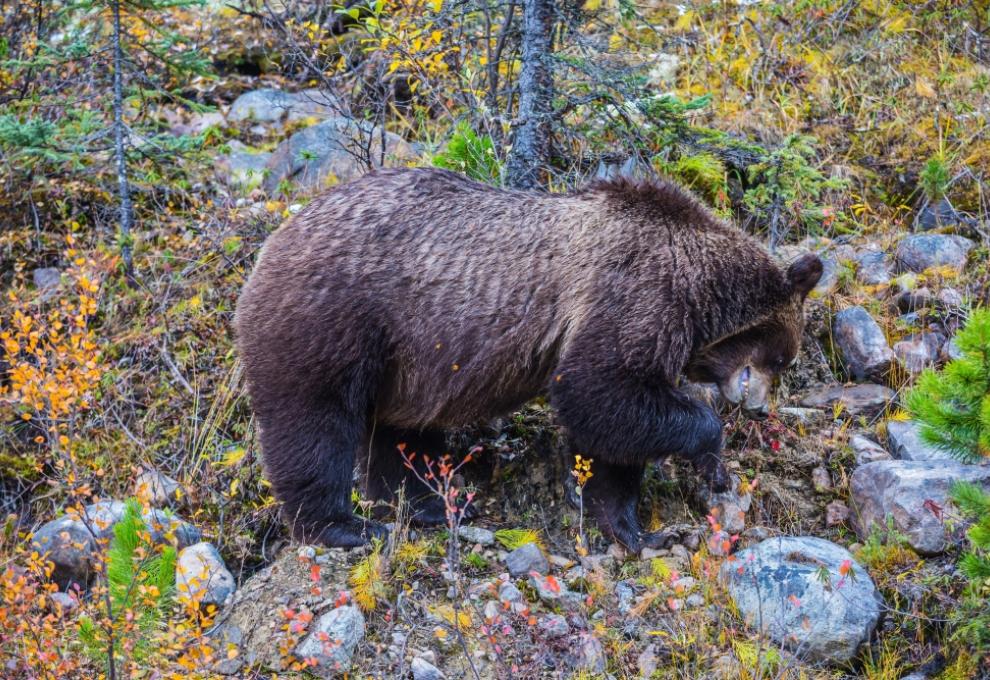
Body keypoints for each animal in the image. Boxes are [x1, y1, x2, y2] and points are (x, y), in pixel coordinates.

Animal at [236, 166, 824, 552]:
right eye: (782, 357)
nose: (759, 408)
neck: (697, 289)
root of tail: (275, 238)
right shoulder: (632, 292)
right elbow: (599, 391)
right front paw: (711, 460)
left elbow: (611, 439)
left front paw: (633, 528)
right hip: (337, 319)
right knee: (314, 421)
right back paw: (343, 525)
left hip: (406, 363)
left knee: (402, 435)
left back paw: (430, 505)